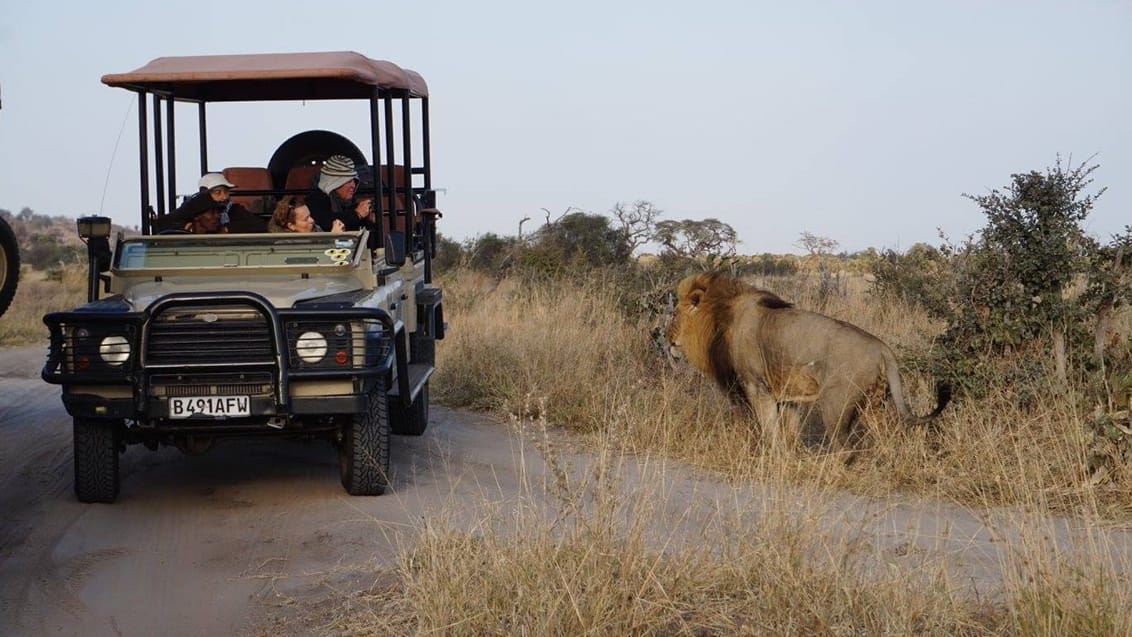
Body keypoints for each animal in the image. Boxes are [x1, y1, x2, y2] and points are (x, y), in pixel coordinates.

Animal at [665, 272, 950, 448]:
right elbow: (789, 431)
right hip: (874, 404)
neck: (719, 319)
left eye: (675, 314)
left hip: (835, 405)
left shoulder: (756, 387)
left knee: (846, 447)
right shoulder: (788, 396)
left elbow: (770, 430)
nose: (666, 338)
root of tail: (884, 348)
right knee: (887, 437)